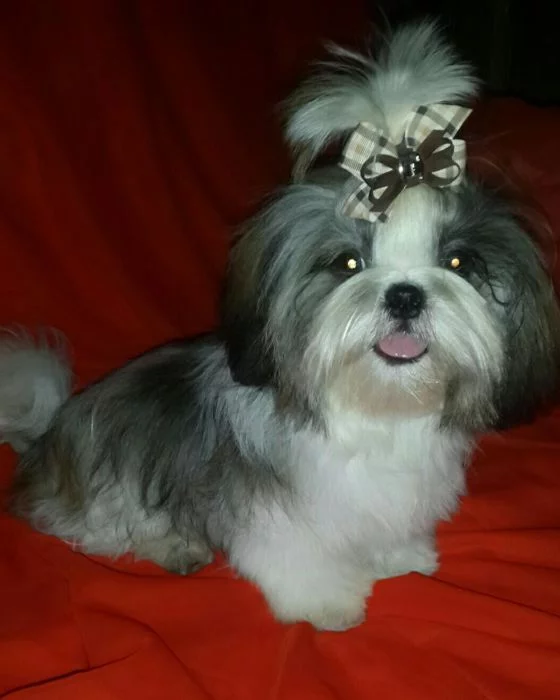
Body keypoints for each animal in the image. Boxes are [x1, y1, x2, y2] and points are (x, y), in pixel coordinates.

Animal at [1, 21, 559, 631]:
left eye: (457, 262)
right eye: (347, 263)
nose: (405, 294)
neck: (372, 411)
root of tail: (50, 430)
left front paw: (401, 557)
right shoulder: (276, 512)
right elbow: (295, 552)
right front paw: (327, 600)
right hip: (113, 473)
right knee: (101, 525)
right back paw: (174, 545)